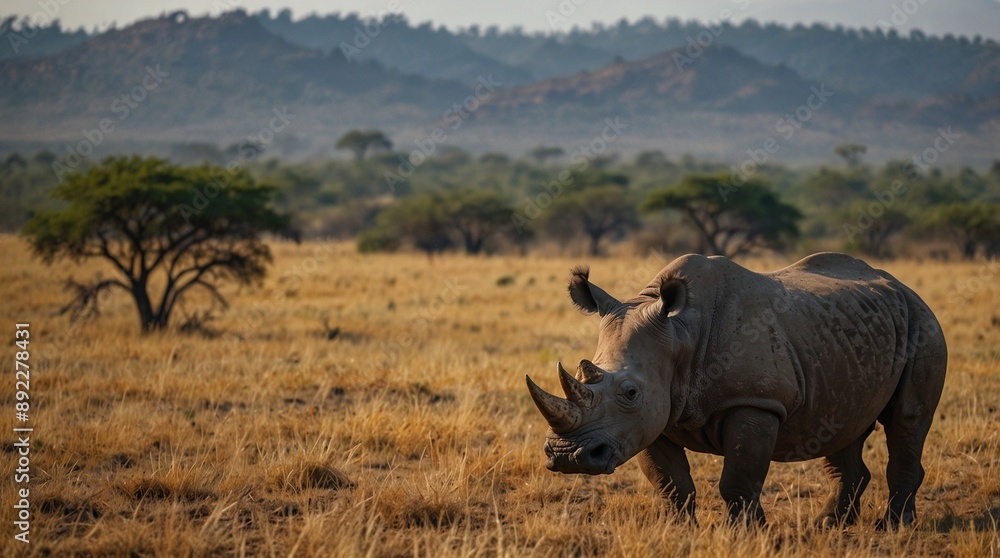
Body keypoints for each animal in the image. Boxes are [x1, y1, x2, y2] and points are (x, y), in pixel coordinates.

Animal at [526, 253, 947, 528]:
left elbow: (739, 479)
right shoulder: (651, 418)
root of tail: (904, 287)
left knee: (907, 420)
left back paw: (894, 527)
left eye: (630, 392)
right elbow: (670, 483)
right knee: (841, 424)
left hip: (923, 324)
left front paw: (746, 533)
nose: (567, 457)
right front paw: (679, 532)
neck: (680, 334)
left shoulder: (755, 401)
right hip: (850, 337)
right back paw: (829, 526)